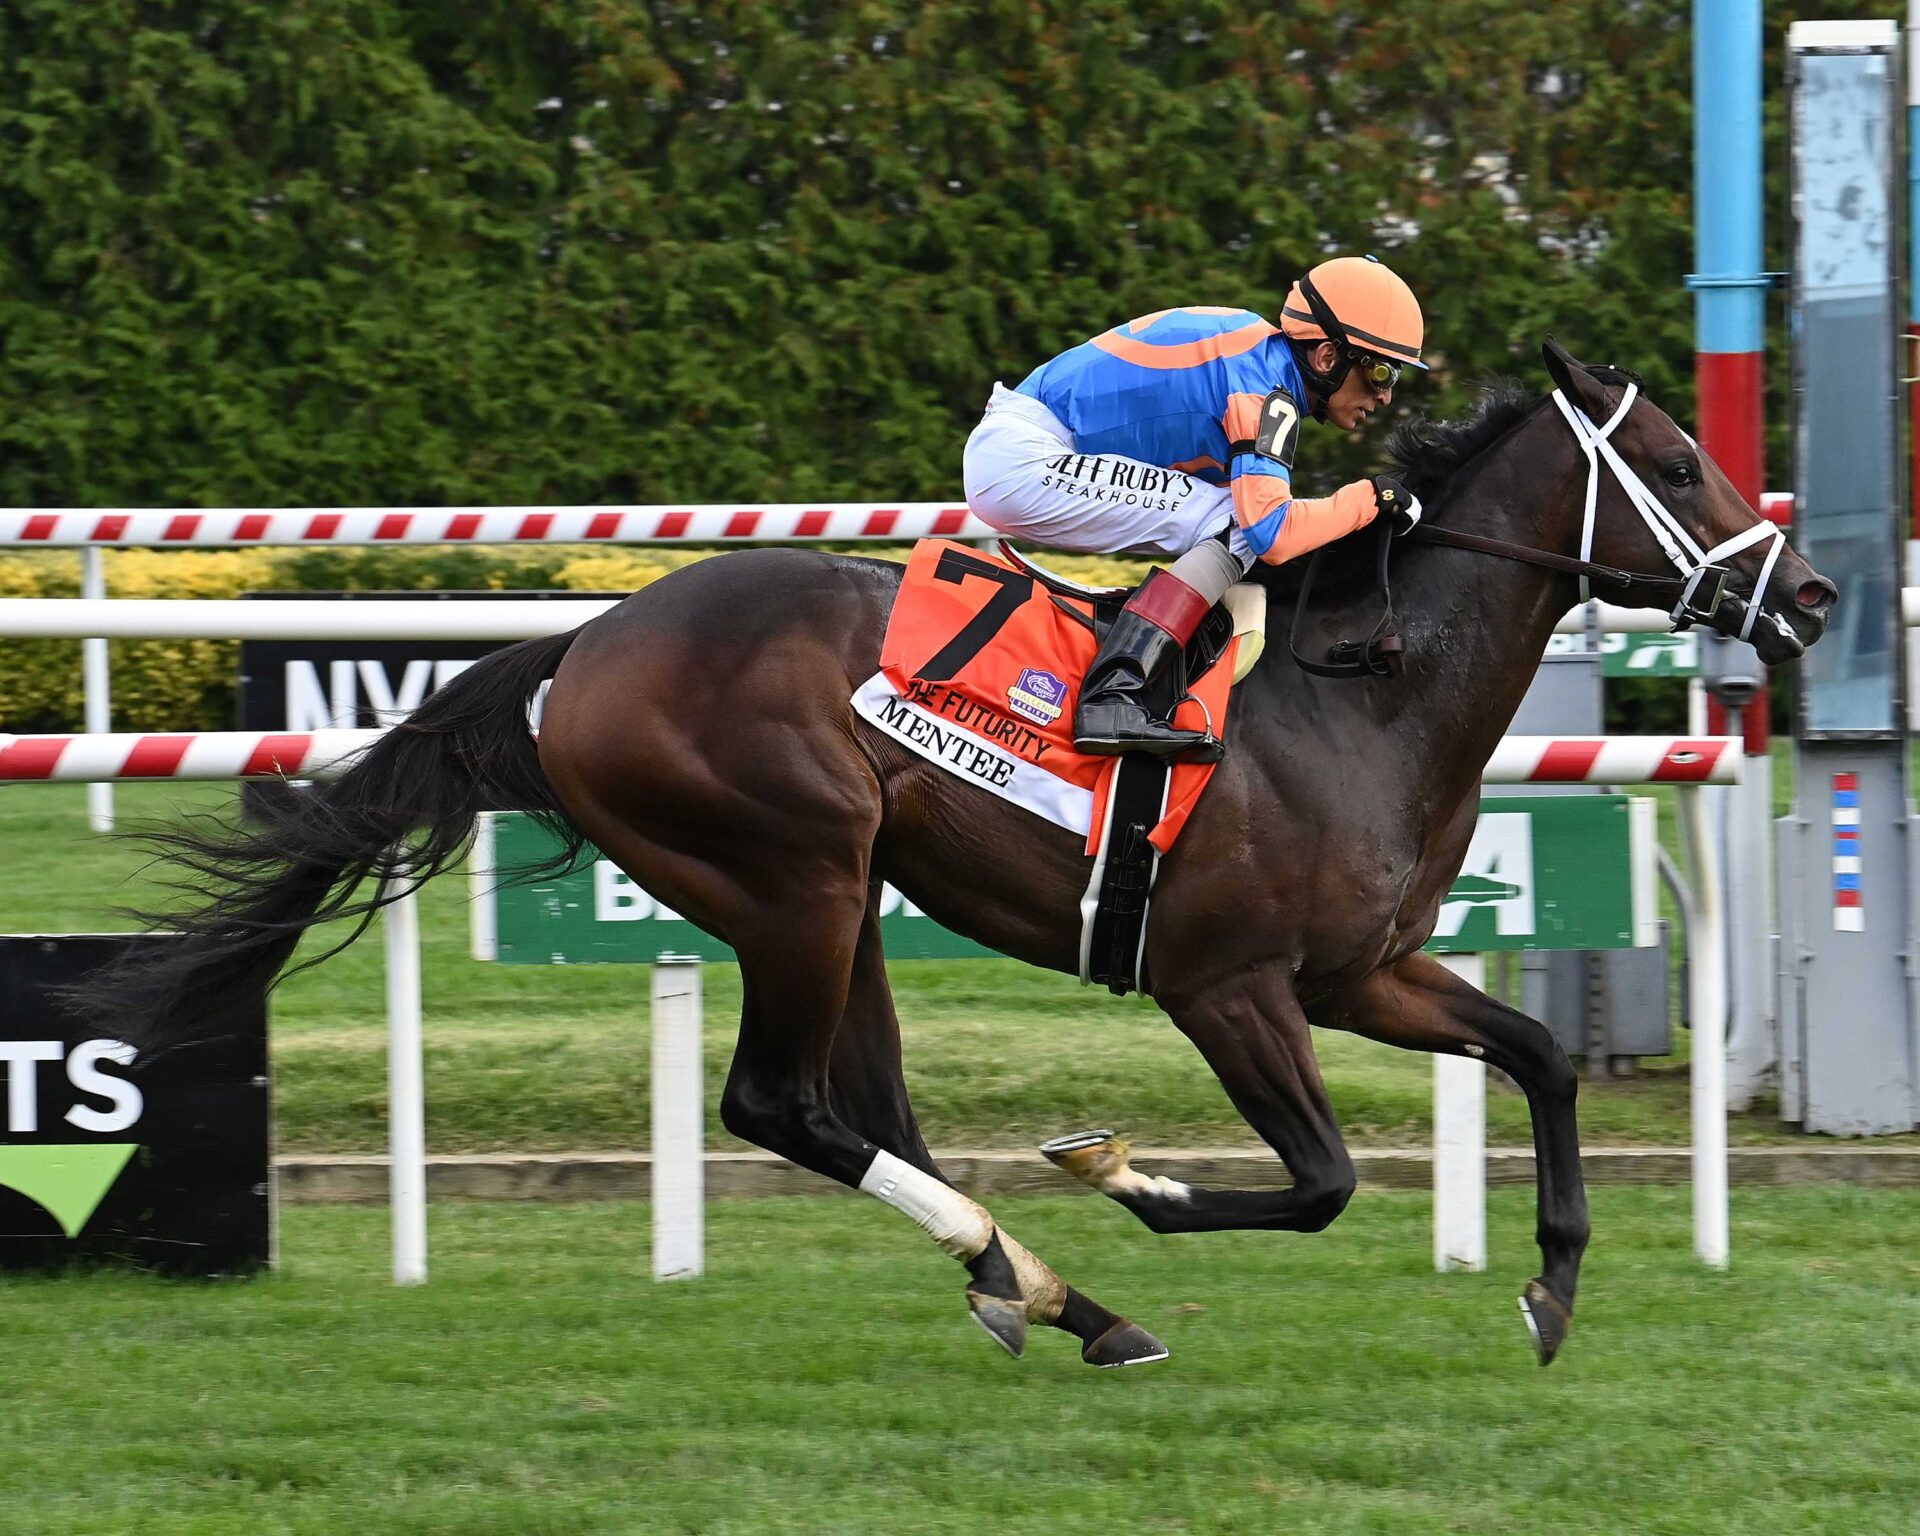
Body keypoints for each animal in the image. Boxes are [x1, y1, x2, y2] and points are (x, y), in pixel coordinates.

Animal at [97, 341, 1833, 1371]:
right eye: (1678, 465)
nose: (1811, 596)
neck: (1362, 688)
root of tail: (580, 649)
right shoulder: (1226, 985)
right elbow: (1324, 1182)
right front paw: (1124, 1173)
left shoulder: (1366, 974)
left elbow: (1535, 1055)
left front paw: (1552, 1284)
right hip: (792, 871)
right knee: (778, 1106)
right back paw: (1062, 1286)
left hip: (842, 891)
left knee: (861, 1109)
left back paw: (1043, 1289)